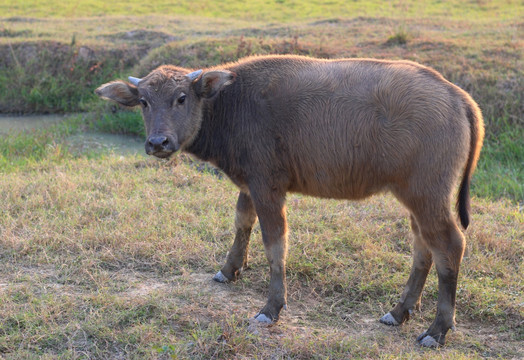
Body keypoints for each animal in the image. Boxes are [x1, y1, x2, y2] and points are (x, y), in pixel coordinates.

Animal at [97, 54, 484, 348]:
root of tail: (457, 96)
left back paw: (436, 330)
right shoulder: (249, 184)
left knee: (450, 246)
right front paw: (229, 270)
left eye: (181, 97)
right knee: (423, 247)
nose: (158, 143)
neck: (231, 104)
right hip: (415, 197)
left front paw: (271, 308)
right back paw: (399, 311)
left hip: (428, 195)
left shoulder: (268, 186)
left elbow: (275, 244)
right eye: (144, 101)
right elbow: (242, 222)